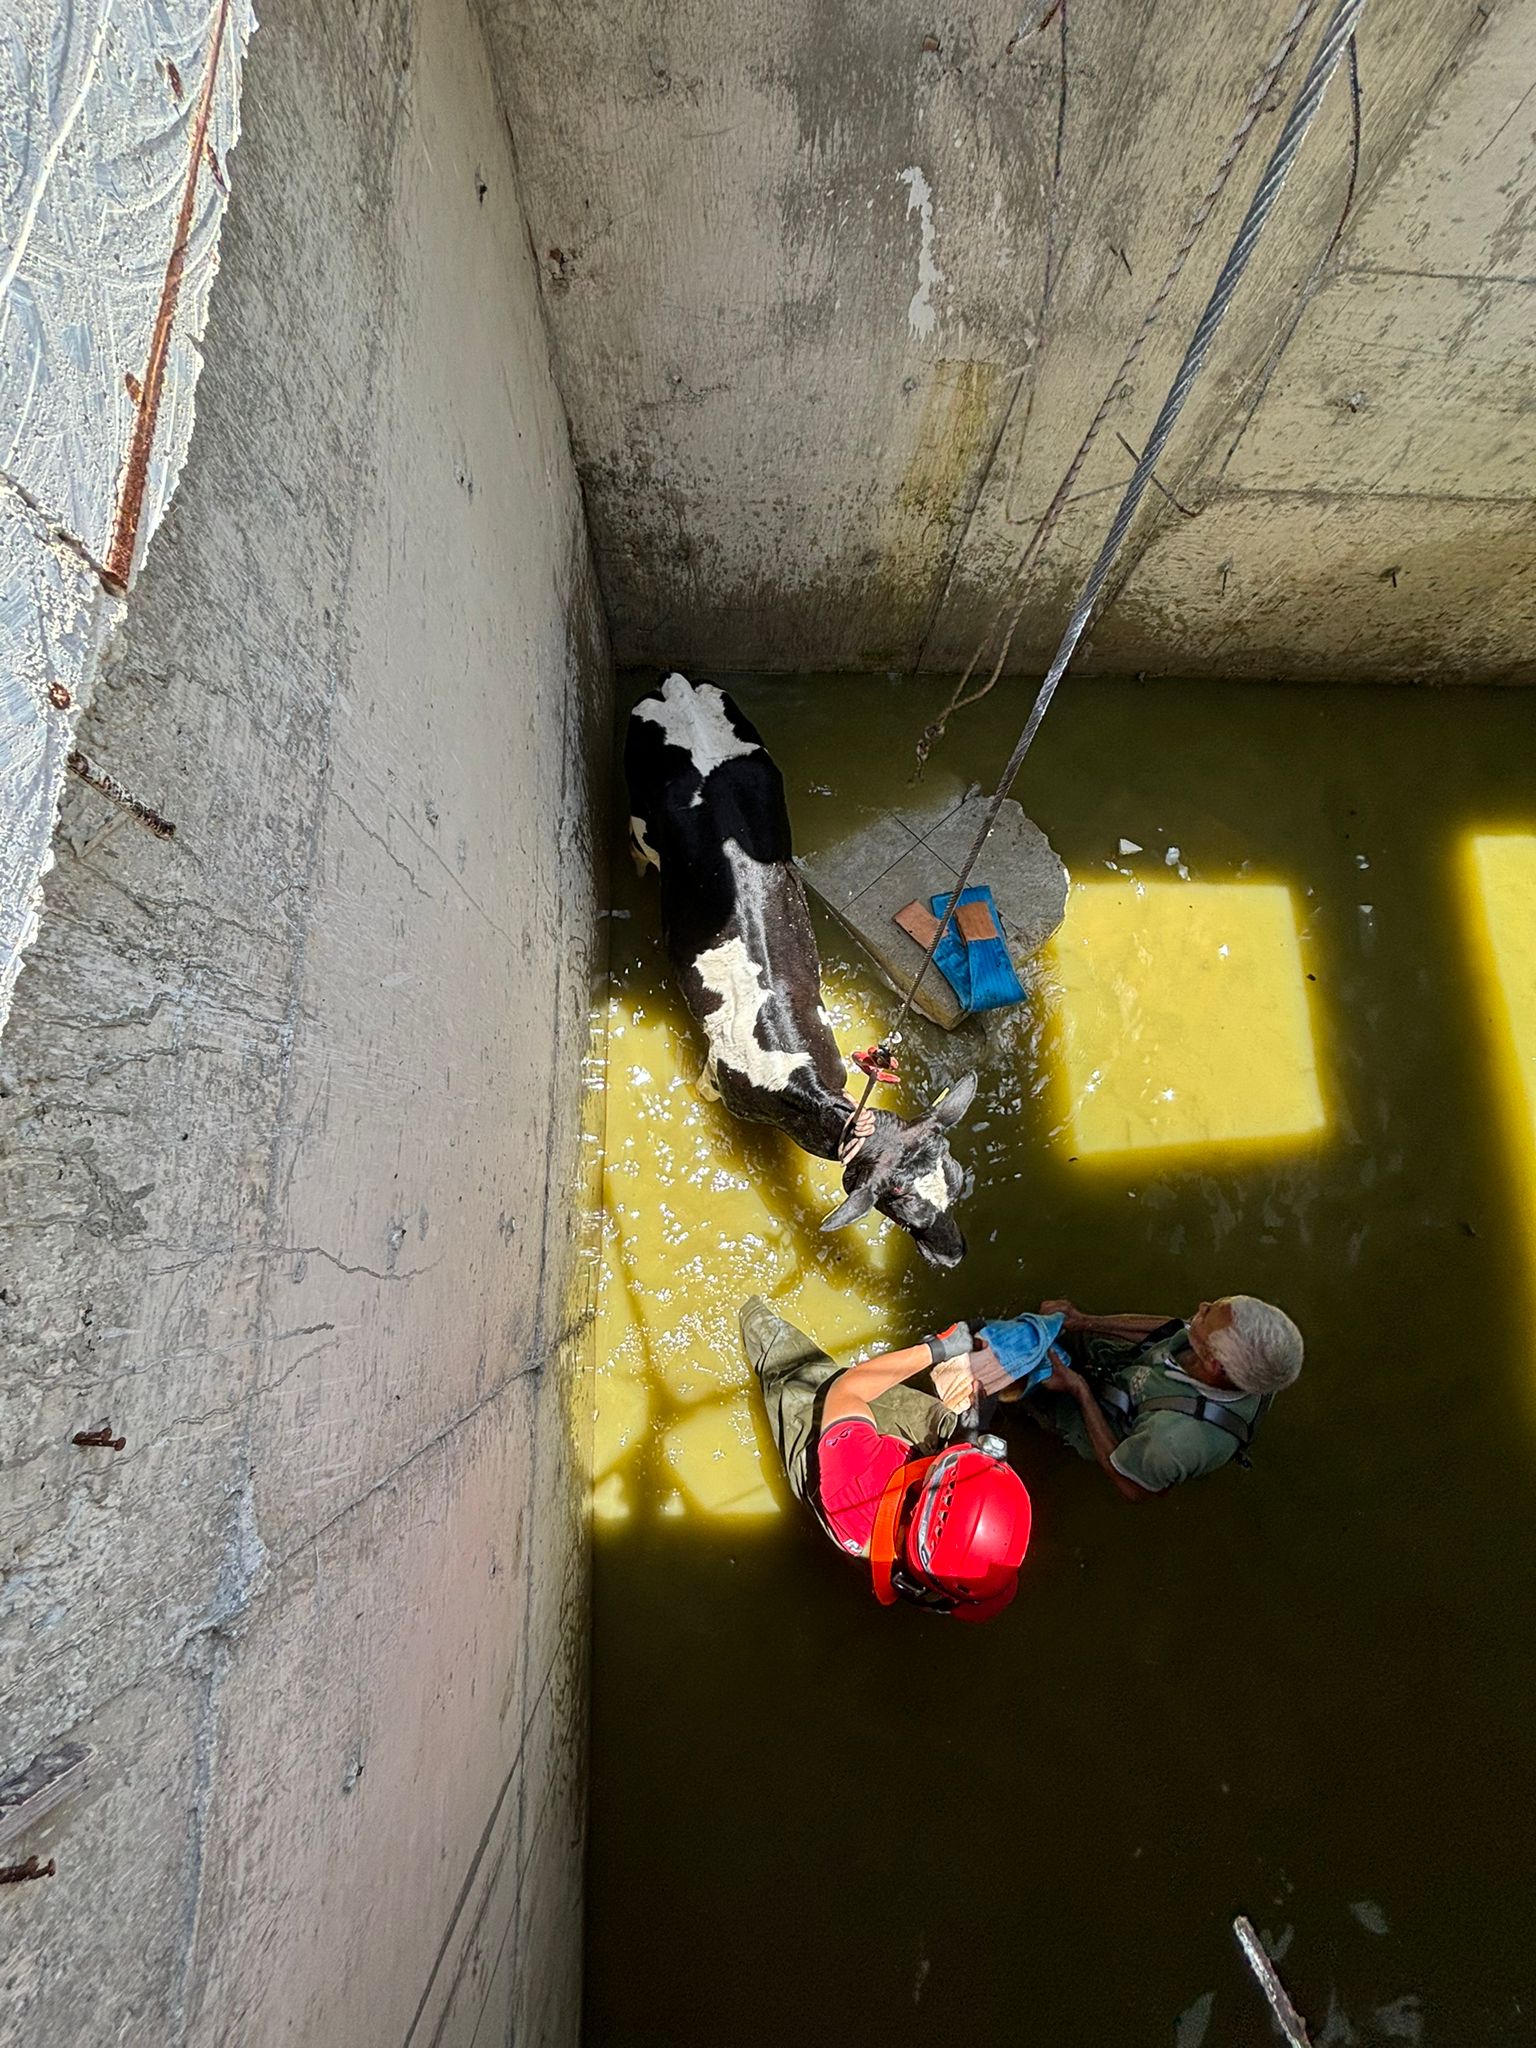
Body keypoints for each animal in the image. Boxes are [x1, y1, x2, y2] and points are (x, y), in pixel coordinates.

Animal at [622, 671, 974, 1261]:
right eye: (904, 1213)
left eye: (958, 1180)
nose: (955, 1254)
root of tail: (678, 684)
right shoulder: (716, 1084)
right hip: (637, 813)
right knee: (638, 848)